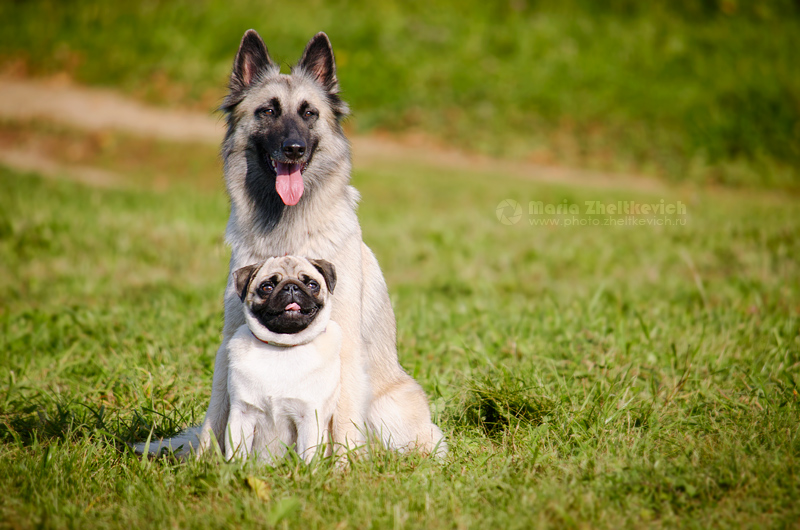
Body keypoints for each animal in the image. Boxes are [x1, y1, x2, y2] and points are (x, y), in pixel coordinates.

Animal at [140, 29, 446, 458]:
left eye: (308, 113)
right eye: (268, 111)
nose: (294, 149)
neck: (286, 231)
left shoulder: (344, 350)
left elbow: (343, 423)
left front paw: (343, 468)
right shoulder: (229, 344)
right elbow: (217, 414)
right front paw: (204, 464)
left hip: (389, 412)